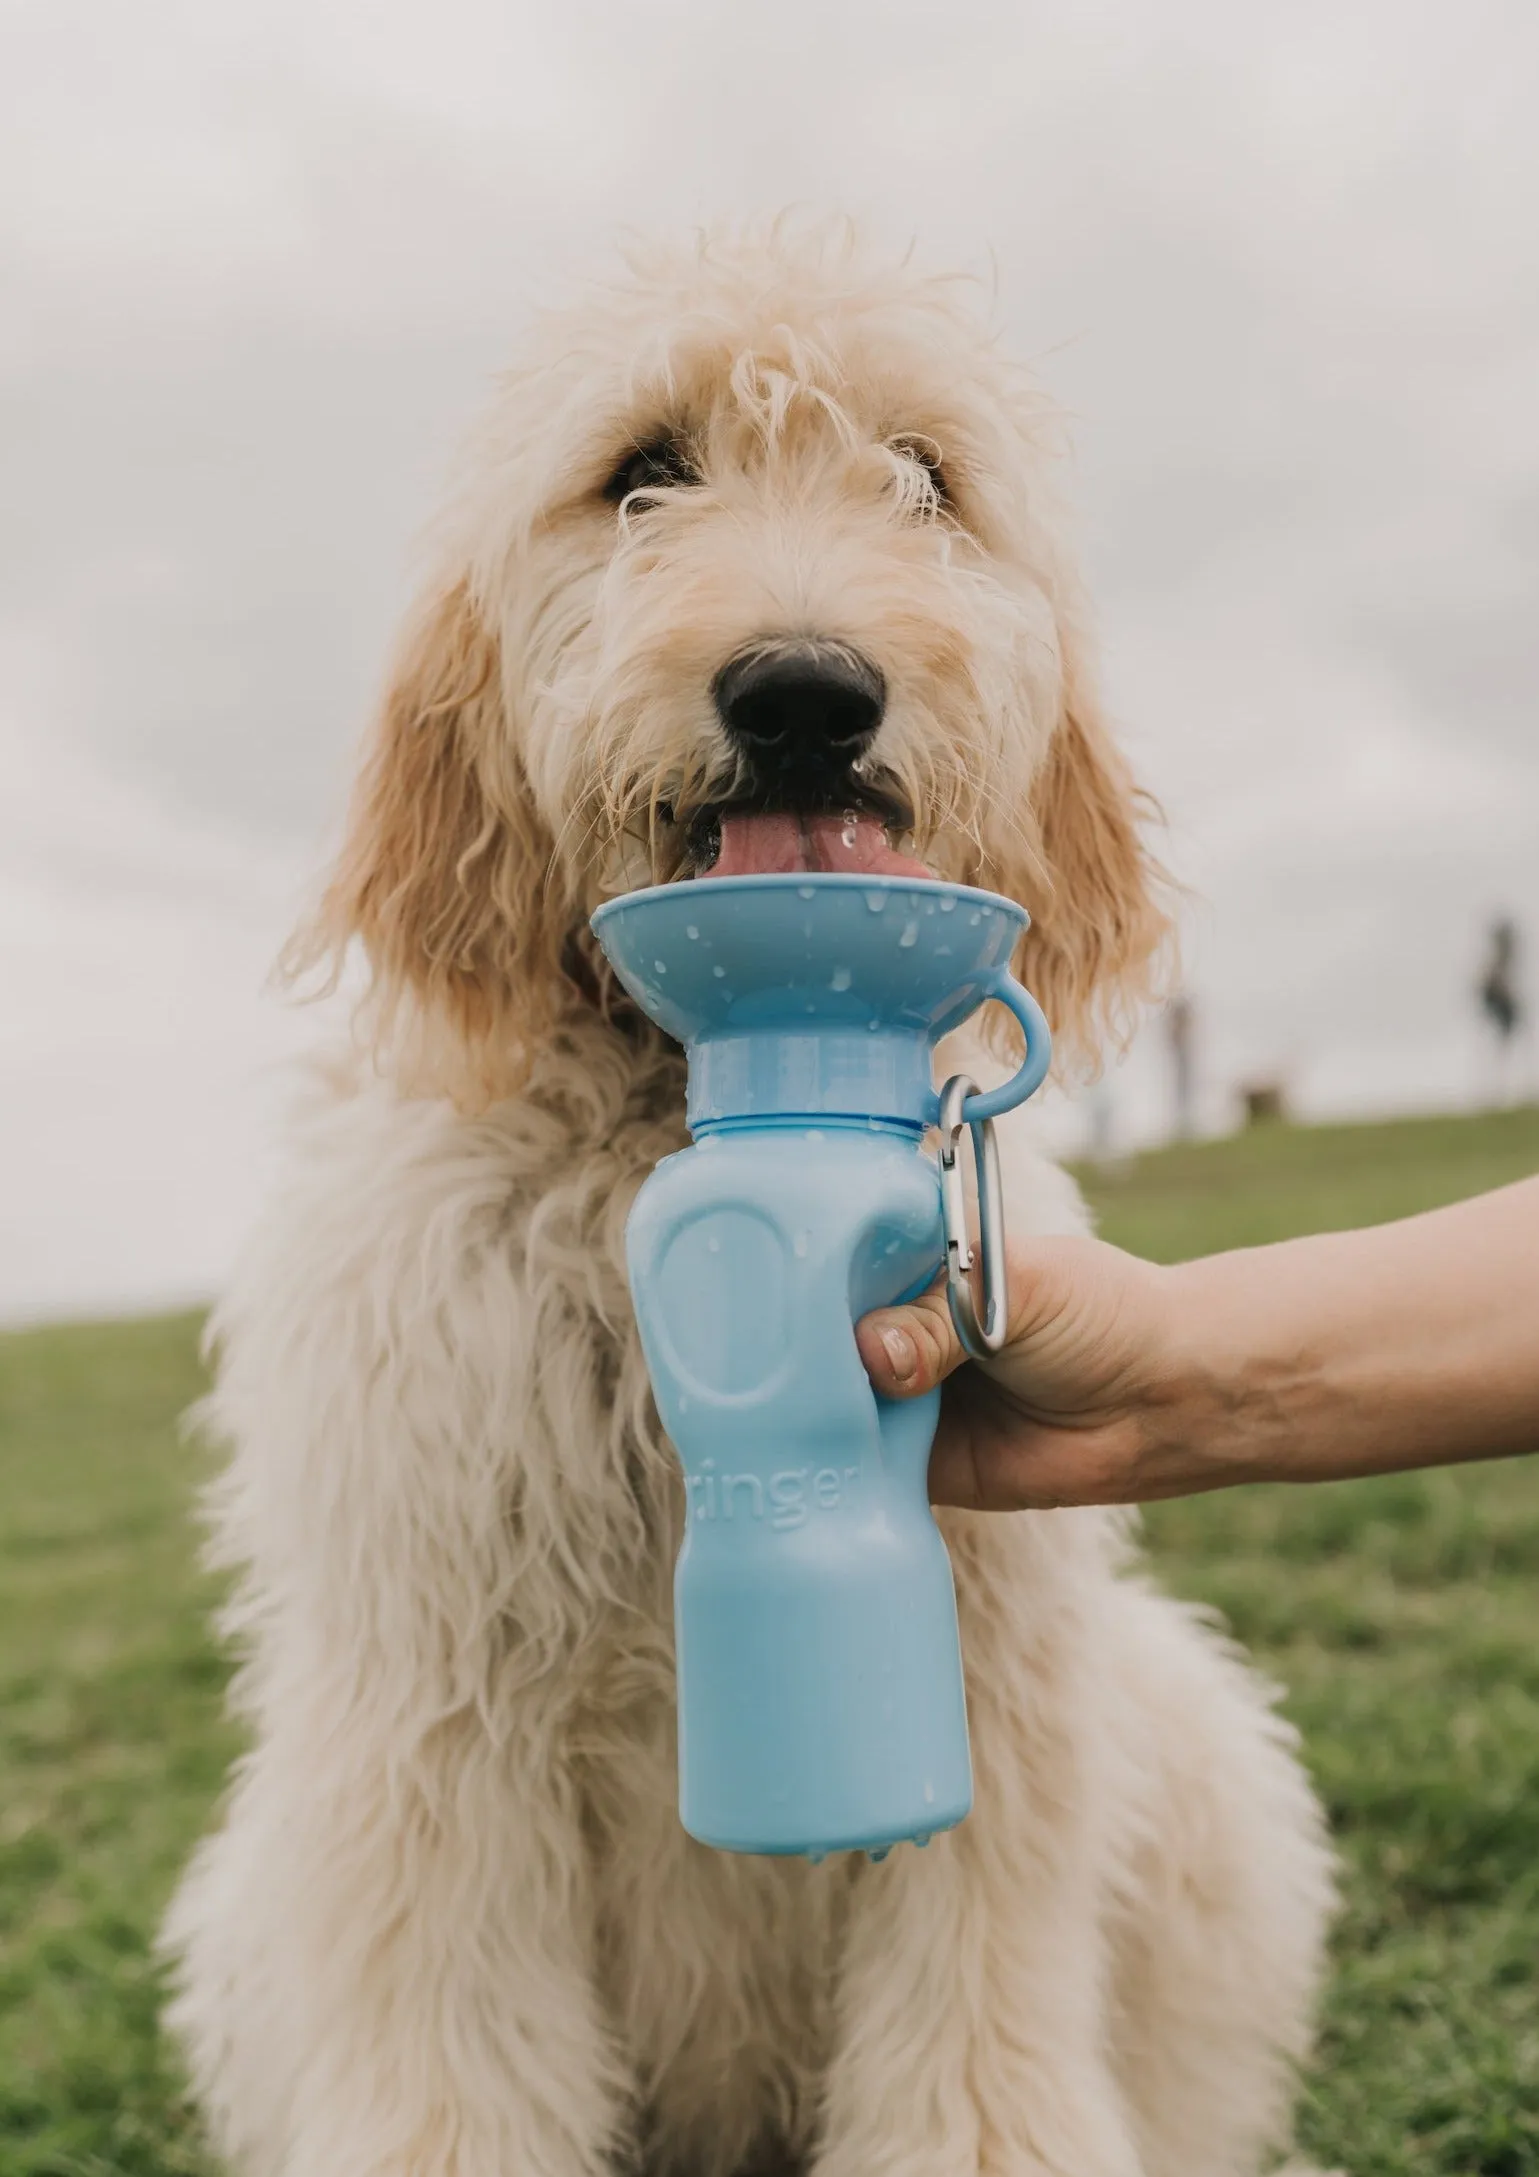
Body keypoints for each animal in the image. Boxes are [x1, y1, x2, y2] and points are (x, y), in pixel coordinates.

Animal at [165, 225, 1332, 2177]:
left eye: (922, 477)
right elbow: (452, 2054)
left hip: (1187, 1761)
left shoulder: (990, 1666)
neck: (664, 1113)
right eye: (642, 467)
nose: (802, 690)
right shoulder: (430, 1706)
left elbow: (973, 2032)